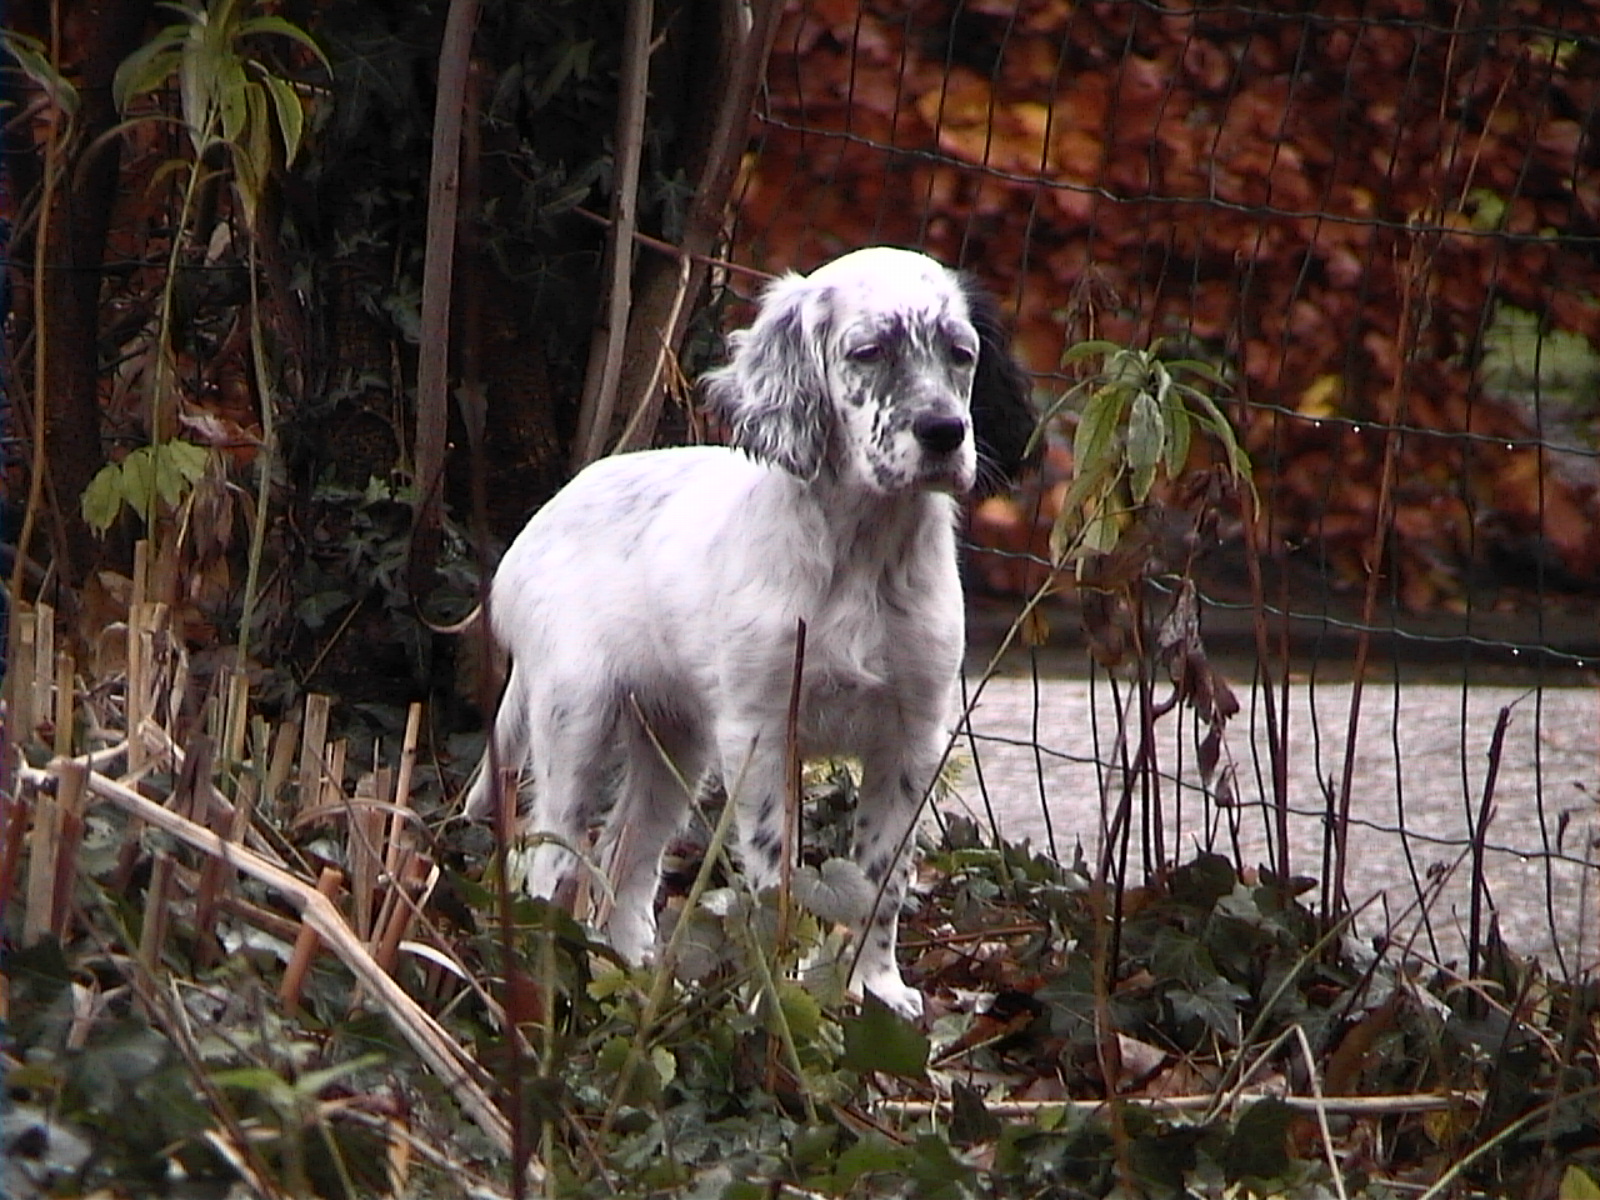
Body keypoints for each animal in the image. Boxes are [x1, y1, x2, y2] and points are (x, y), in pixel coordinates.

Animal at [464, 249, 1036, 1017]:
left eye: (961, 353)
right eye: (868, 353)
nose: (946, 432)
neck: (861, 553)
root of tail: (538, 524)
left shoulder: (911, 738)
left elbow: (881, 879)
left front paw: (875, 988)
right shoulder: (764, 735)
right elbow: (776, 875)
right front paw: (782, 994)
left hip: (676, 741)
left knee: (628, 855)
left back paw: (635, 973)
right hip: (575, 716)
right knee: (552, 853)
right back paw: (546, 975)